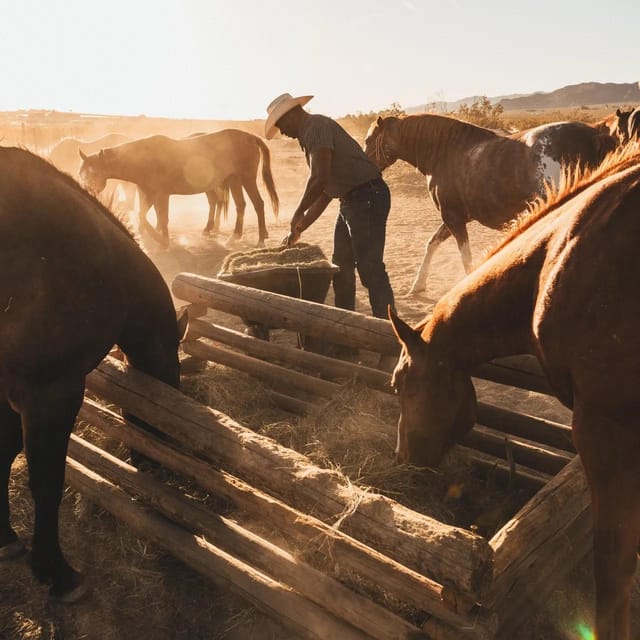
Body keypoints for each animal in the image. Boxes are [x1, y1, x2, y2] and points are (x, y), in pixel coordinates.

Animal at [1, 148, 188, 604]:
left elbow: (2, 453)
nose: (154, 465)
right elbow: (46, 480)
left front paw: (5, 538)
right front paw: (57, 573)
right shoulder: (51, 394)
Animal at [77, 129, 278, 248]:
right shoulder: (149, 194)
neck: (144, 160)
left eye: (93, 172)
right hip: (234, 180)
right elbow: (144, 216)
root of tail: (252, 137)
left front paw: (162, 240)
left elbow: (162, 218)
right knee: (240, 205)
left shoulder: (161, 194)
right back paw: (234, 236)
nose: (86, 192)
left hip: (246, 179)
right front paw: (156, 237)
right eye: (82, 173)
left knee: (258, 204)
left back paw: (260, 239)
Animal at [364, 115, 616, 296]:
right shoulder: (457, 217)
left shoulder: (453, 218)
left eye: (368, 140)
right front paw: (418, 284)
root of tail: (594, 135)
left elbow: (466, 259)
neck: (445, 153)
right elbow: (432, 244)